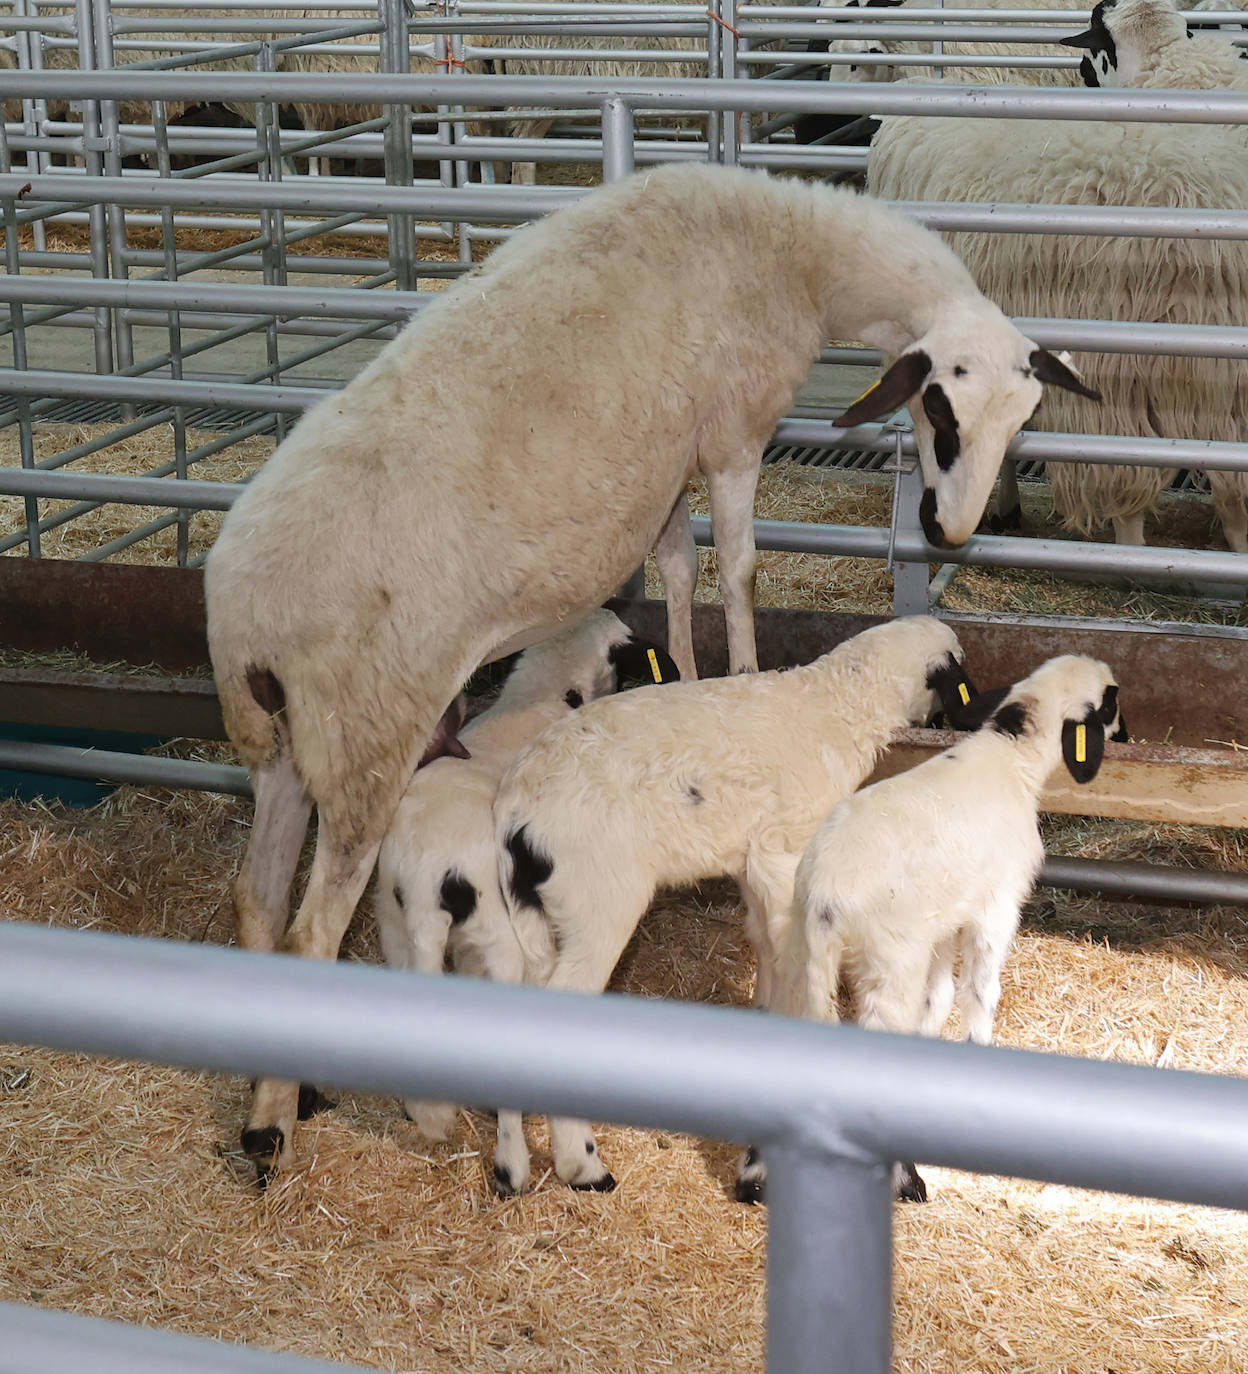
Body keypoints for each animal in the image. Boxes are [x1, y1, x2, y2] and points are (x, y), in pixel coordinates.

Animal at [486, 618, 984, 1198]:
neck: (836, 706)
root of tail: (515, 814)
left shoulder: (754, 862)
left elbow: (768, 947)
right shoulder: (785, 851)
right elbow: (798, 965)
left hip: (537, 917)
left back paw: (512, 1168)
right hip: (598, 901)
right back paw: (584, 1166)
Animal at [742, 654, 1121, 1203]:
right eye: (1112, 701)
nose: (1127, 732)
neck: (1011, 759)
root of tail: (823, 901)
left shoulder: (943, 918)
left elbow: (938, 997)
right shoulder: (995, 906)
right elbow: (980, 993)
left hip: (800, 959)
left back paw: (754, 1172)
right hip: (889, 964)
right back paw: (906, 1178)